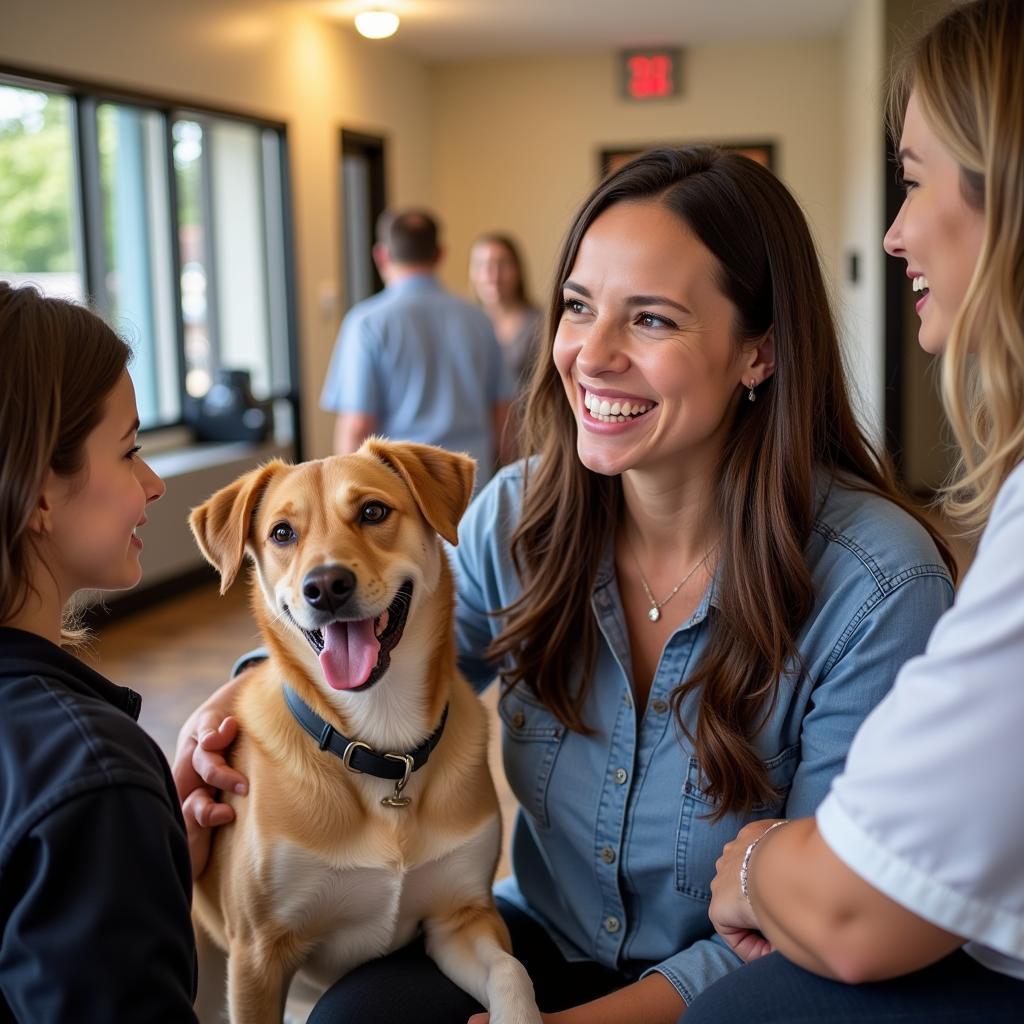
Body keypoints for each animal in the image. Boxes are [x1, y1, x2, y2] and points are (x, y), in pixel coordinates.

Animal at [188, 440, 540, 1024]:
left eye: (373, 511)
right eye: (282, 533)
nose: (326, 587)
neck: (380, 738)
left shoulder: (460, 917)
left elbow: (512, 972)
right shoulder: (258, 955)